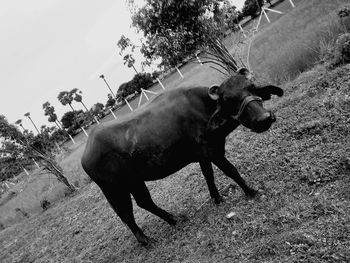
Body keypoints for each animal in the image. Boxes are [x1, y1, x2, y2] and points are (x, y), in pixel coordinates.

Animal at [80, 69, 284, 245]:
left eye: (252, 87)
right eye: (229, 100)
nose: (264, 118)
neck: (203, 109)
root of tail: (86, 155)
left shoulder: (204, 155)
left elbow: (208, 175)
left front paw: (217, 198)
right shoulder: (213, 152)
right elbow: (231, 171)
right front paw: (251, 191)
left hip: (134, 182)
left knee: (144, 202)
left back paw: (174, 219)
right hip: (117, 189)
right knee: (126, 214)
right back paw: (145, 240)